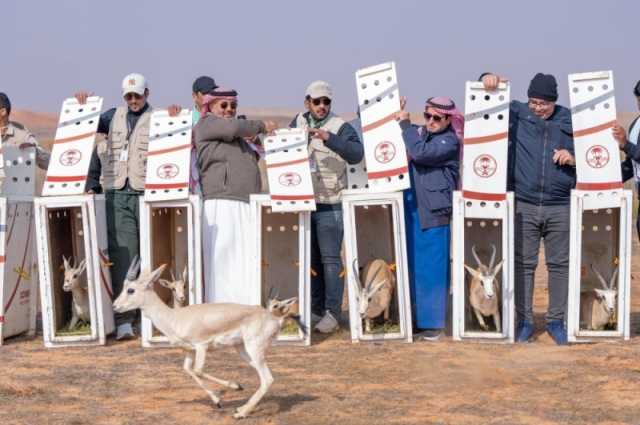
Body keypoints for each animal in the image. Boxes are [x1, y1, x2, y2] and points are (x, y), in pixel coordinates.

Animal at [112, 255, 302, 418]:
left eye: (130, 290)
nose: (114, 306)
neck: (174, 317)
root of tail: (274, 319)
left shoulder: (201, 346)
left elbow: (198, 370)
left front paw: (234, 387)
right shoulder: (189, 351)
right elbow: (188, 370)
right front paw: (220, 399)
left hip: (253, 348)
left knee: (268, 378)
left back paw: (241, 413)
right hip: (242, 349)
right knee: (264, 376)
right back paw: (241, 408)